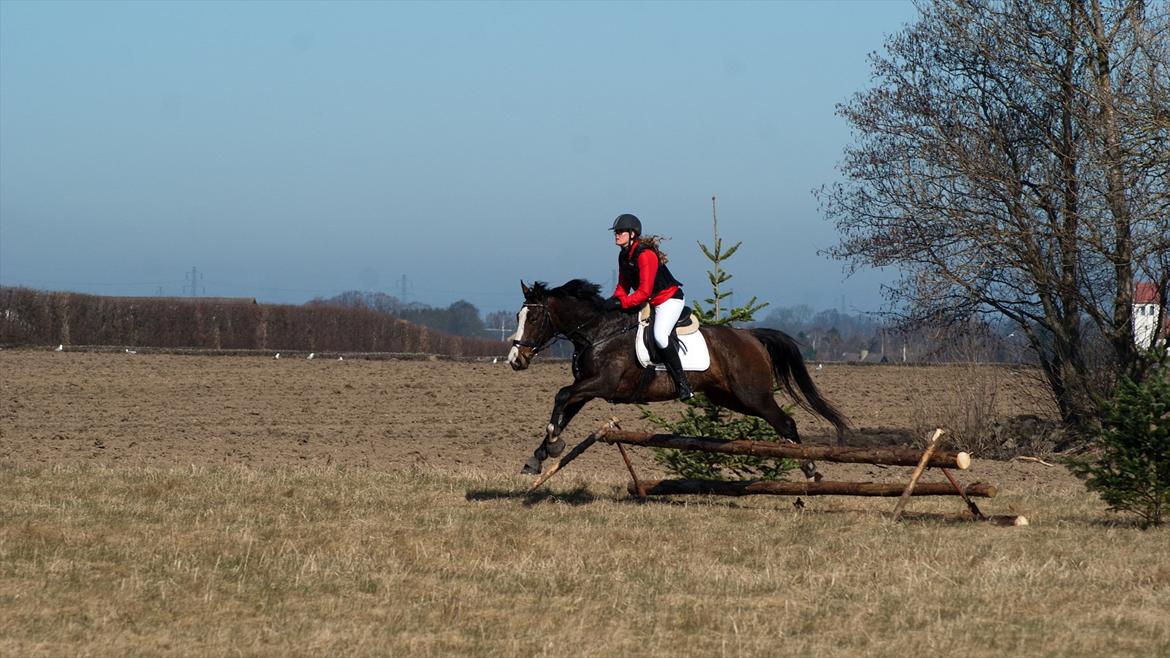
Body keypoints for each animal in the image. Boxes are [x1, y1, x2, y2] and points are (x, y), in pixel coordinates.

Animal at [507, 277, 847, 475]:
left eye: (533, 318)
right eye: (518, 316)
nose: (515, 360)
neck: (597, 333)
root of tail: (751, 336)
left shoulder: (604, 384)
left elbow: (561, 395)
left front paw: (551, 446)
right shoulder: (586, 388)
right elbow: (563, 410)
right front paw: (540, 454)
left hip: (753, 395)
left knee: (786, 423)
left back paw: (810, 468)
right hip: (731, 398)